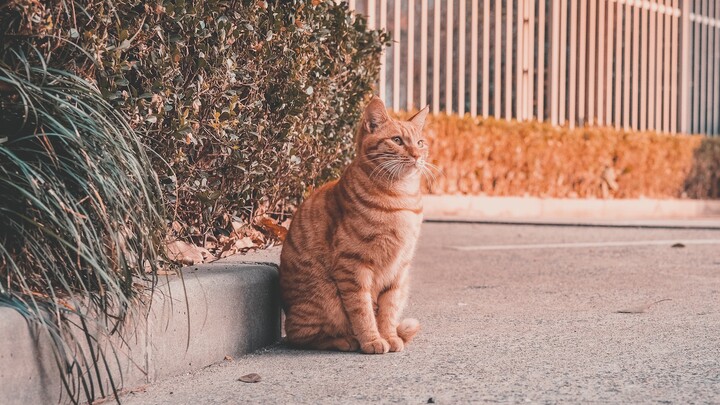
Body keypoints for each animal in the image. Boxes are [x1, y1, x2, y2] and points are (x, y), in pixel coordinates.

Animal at [280, 95, 428, 354]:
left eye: (420, 143)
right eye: (397, 140)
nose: (417, 155)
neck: (401, 198)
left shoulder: (399, 269)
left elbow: (388, 310)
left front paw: (389, 336)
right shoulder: (353, 265)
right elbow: (362, 309)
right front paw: (372, 340)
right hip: (324, 298)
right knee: (302, 337)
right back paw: (347, 341)